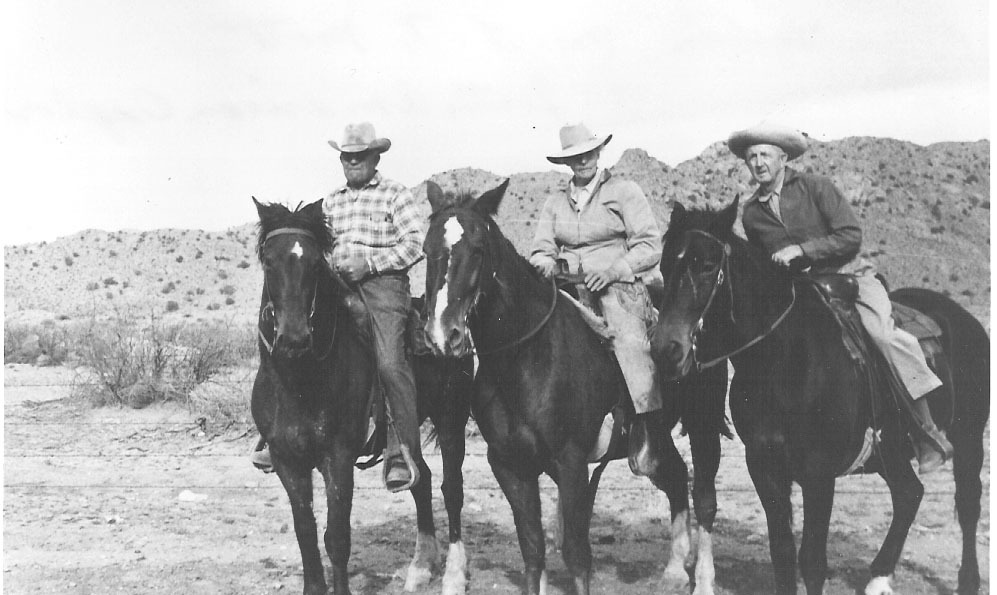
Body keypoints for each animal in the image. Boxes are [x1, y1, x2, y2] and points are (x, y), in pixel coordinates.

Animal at [251, 198, 474, 595]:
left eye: (314, 263)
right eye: (269, 261)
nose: (294, 338)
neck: (299, 384)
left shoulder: (338, 457)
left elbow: (337, 536)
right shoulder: (287, 460)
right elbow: (305, 532)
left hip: (451, 421)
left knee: (452, 489)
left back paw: (453, 573)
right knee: (421, 480)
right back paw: (420, 568)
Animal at [421, 180, 729, 595]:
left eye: (478, 250)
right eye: (426, 251)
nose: (444, 334)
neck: (525, 356)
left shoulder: (570, 463)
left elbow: (577, 556)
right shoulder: (509, 465)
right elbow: (533, 550)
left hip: (704, 424)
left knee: (704, 497)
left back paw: (702, 579)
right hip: (654, 445)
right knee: (678, 477)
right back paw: (675, 570)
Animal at [648, 197, 990, 595]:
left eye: (706, 265)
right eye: (664, 264)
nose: (666, 349)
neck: (783, 360)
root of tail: (965, 320)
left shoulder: (818, 473)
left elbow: (812, 561)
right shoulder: (764, 466)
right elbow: (782, 553)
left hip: (968, 438)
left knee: (967, 503)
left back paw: (967, 580)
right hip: (890, 451)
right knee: (909, 493)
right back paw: (878, 577)